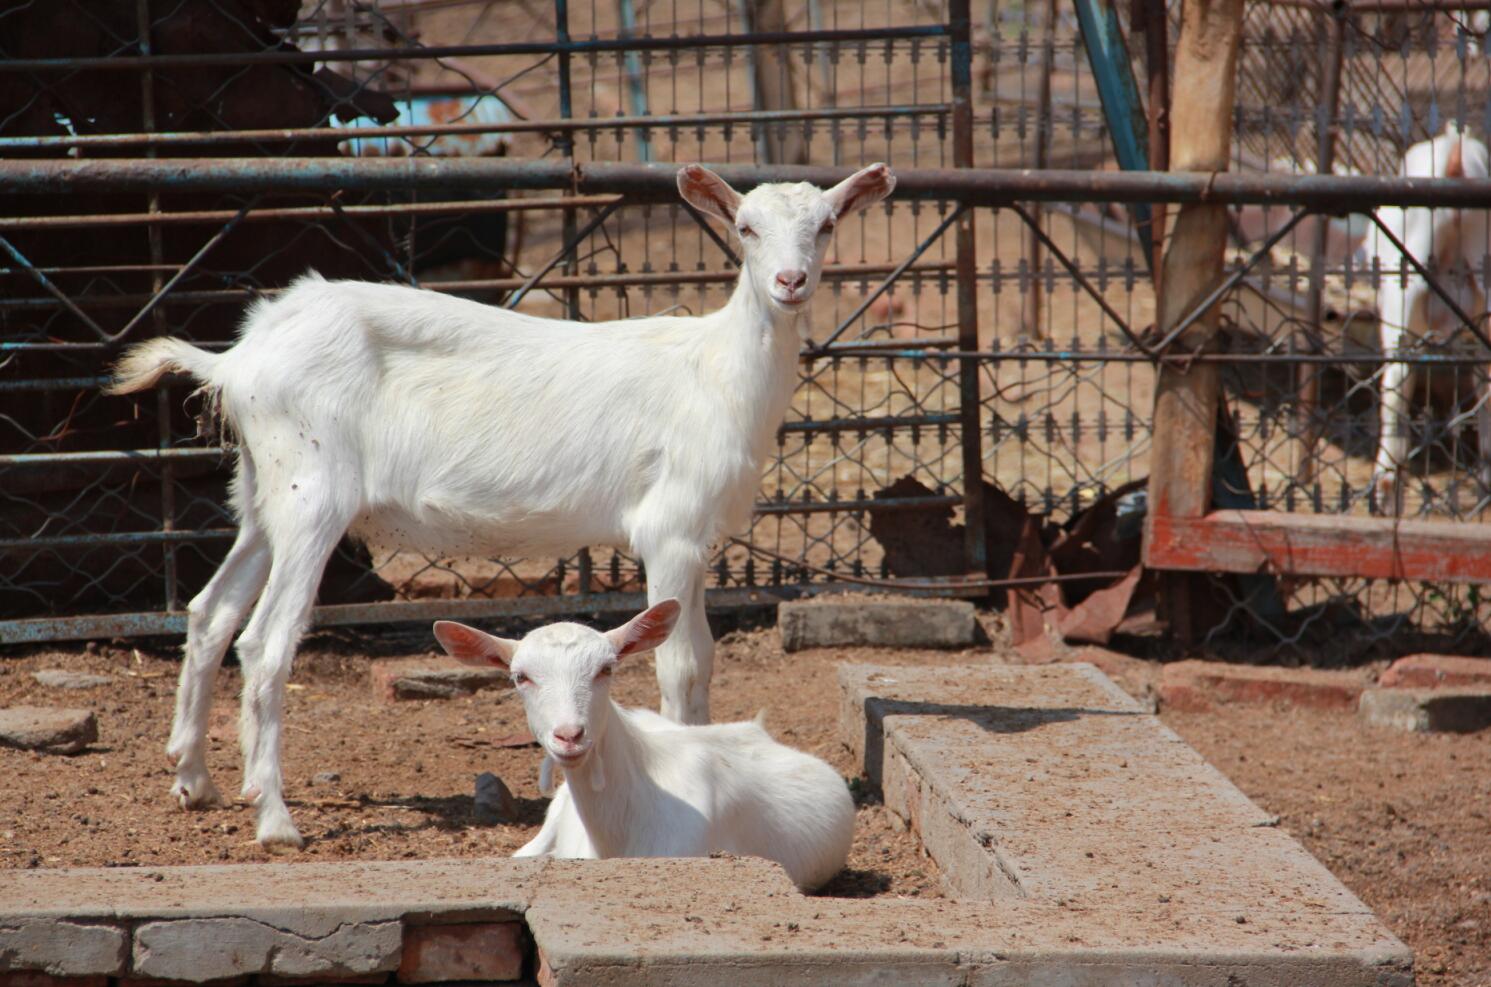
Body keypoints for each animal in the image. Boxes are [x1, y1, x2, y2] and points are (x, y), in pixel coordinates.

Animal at [103, 162, 896, 849]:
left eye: (826, 224)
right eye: (746, 227)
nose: (791, 282)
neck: (719, 373)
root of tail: (238, 359)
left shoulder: (699, 540)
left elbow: (700, 654)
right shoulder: (669, 529)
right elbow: (679, 663)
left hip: (262, 491)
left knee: (209, 613)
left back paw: (194, 780)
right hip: (312, 493)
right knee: (266, 641)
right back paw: (273, 817)